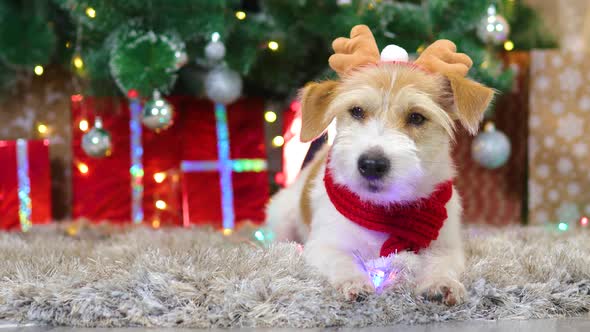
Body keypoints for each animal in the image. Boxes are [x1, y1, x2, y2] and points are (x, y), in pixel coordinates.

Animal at [268, 25, 494, 306]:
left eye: (417, 117)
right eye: (356, 111)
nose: (372, 164)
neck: (384, 209)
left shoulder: (447, 246)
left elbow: (442, 263)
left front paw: (441, 282)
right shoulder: (323, 244)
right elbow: (341, 260)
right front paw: (353, 281)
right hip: (282, 216)